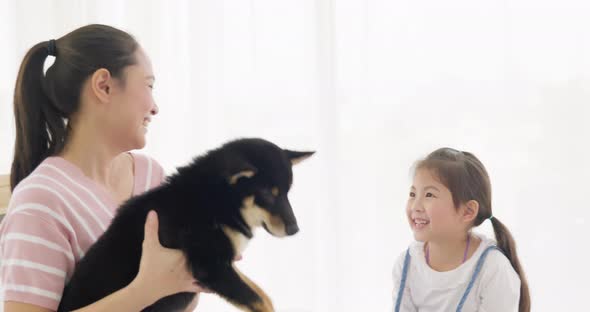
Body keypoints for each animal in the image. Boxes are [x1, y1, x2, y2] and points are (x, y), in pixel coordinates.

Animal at [57, 138, 314, 312]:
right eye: (267, 195)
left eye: (287, 193)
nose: (295, 230)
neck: (215, 200)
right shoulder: (211, 266)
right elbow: (261, 301)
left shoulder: (225, 262)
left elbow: (261, 293)